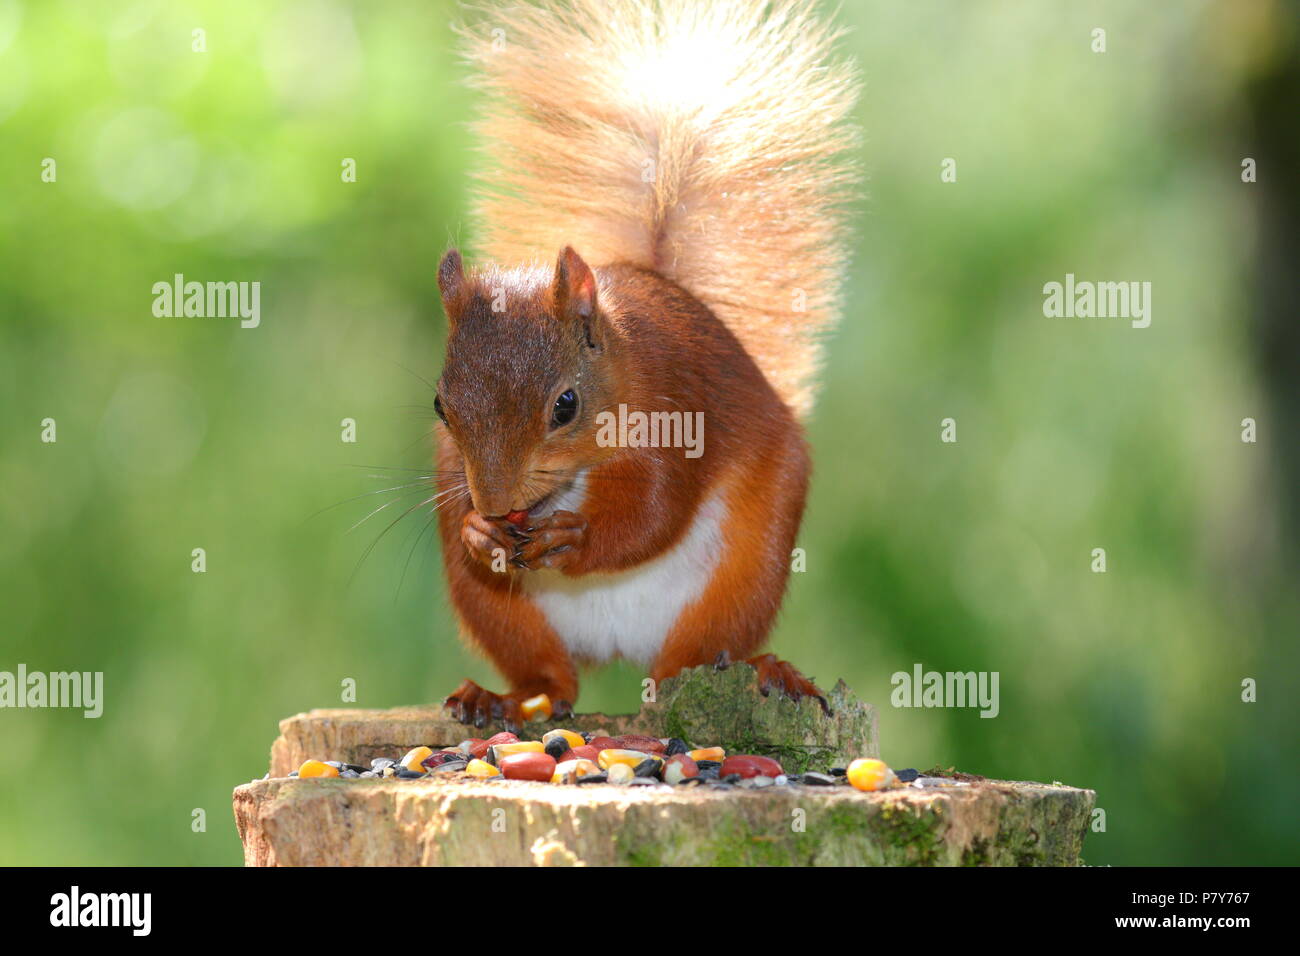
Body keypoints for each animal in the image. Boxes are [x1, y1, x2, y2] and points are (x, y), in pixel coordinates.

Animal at [426, 0, 857, 723]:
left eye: (566, 405)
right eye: (440, 405)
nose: (498, 504)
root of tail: (621, 644)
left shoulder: (679, 407)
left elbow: (656, 512)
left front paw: (576, 542)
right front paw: (479, 534)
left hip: (745, 569)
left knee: (696, 653)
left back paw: (763, 671)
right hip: (500, 612)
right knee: (554, 681)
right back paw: (508, 699)